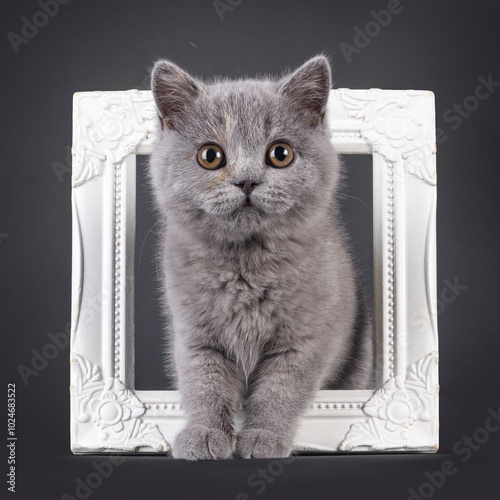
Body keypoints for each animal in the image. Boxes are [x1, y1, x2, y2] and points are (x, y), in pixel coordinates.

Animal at [146, 55, 374, 460]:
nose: (248, 180)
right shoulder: (195, 336)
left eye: (280, 153)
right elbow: (204, 386)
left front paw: (263, 438)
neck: (246, 266)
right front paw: (204, 434)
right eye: (210, 156)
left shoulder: (304, 340)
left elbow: (279, 392)